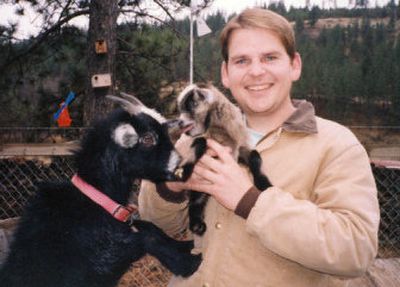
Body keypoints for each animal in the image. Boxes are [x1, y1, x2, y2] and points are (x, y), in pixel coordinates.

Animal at [0, 94, 200, 287]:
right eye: (148, 138)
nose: (181, 163)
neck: (97, 200)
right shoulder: (100, 261)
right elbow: (146, 237)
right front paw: (188, 263)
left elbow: (150, 227)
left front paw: (187, 245)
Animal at [177, 83, 270, 236]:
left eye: (192, 105)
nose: (179, 122)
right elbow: (200, 142)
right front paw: (185, 171)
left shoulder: (238, 148)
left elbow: (254, 155)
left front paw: (265, 185)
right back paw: (196, 225)